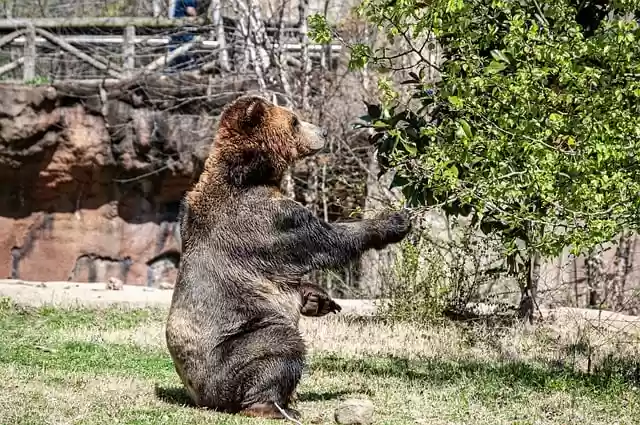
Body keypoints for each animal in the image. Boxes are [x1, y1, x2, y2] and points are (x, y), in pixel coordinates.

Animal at [165, 94, 411, 420]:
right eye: (294, 120)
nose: (323, 132)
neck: (247, 172)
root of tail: (198, 396)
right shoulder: (267, 220)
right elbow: (326, 240)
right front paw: (393, 221)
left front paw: (320, 300)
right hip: (229, 353)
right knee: (279, 342)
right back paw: (274, 406)